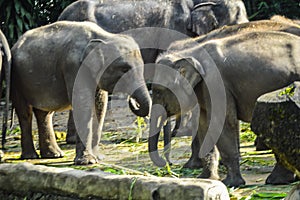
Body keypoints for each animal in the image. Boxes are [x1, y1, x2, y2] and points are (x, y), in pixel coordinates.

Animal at [11, 20, 152, 164]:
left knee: (44, 113)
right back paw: (31, 156)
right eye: (124, 69)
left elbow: (100, 106)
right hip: (16, 77)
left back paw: (54, 155)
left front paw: (98, 158)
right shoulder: (73, 67)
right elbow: (83, 104)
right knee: (25, 113)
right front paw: (87, 162)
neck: (104, 36)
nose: (133, 101)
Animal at [151, 28, 300, 187]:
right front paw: (206, 178)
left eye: (158, 91)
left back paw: (275, 181)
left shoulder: (216, 84)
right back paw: (281, 180)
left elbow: (222, 123)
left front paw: (231, 183)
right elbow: (204, 125)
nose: (168, 165)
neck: (189, 53)